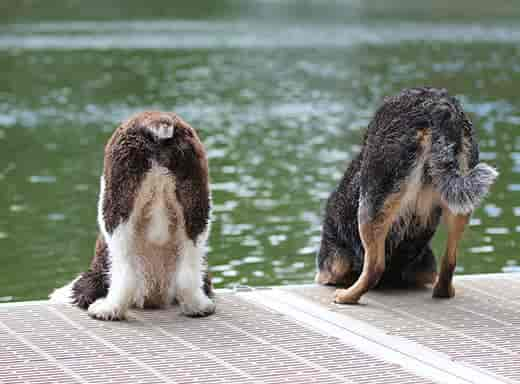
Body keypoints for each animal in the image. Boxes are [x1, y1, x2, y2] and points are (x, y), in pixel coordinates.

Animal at [50, 112, 215, 320]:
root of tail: (157, 123)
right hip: (196, 203)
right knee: (188, 271)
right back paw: (198, 307)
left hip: (116, 204)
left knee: (125, 272)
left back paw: (108, 309)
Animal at [314, 87, 498, 304]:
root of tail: (438, 105)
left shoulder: (329, 267)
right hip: (461, 201)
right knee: (449, 262)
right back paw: (443, 291)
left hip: (372, 202)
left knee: (375, 267)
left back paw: (346, 296)